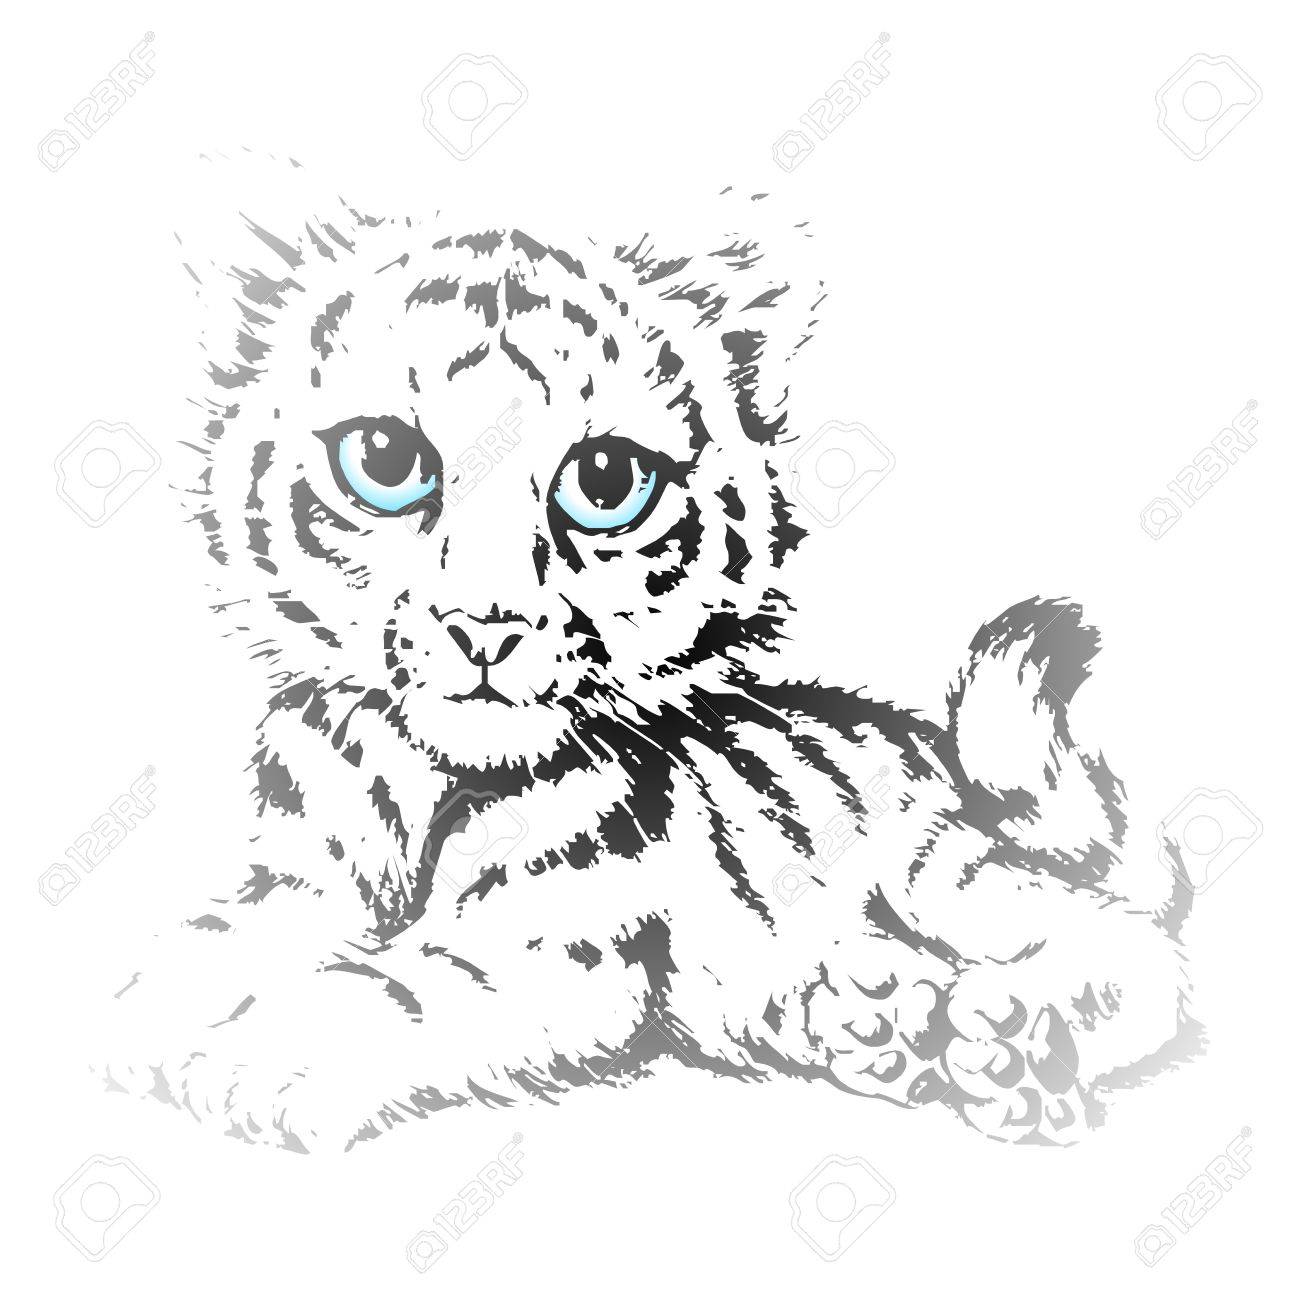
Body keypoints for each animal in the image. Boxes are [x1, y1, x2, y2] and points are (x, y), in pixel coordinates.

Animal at [98, 153, 1199, 1152]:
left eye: (604, 479)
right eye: (382, 460)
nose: (485, 625)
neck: (421, 791)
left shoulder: (555, 944)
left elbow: (403, 983)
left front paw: (262, 1053)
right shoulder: (291, 881)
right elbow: (220, 937)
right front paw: (151, 1006)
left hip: (947, 870)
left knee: (1127, 948)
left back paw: (1007, 1043)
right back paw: (875, 1023)